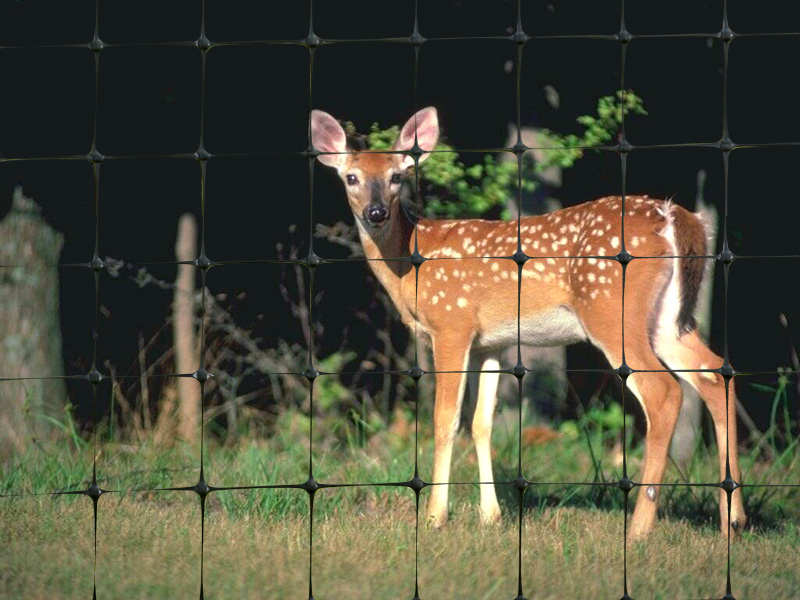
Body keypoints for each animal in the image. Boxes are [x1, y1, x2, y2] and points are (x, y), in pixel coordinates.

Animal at [310, 106, 744, 540]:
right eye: (352, 177)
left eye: (397, 176)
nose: (376, 213)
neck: (410, 262)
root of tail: (677, 218)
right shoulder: (491, 344)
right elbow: (482, 423)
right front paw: (491, 515)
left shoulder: (452, 323)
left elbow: (445, 419)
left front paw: (435, 516)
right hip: (669, 319)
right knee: (715, 374)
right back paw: (733, 521)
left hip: (610, 309)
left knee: (664, 392)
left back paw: (639, 527)